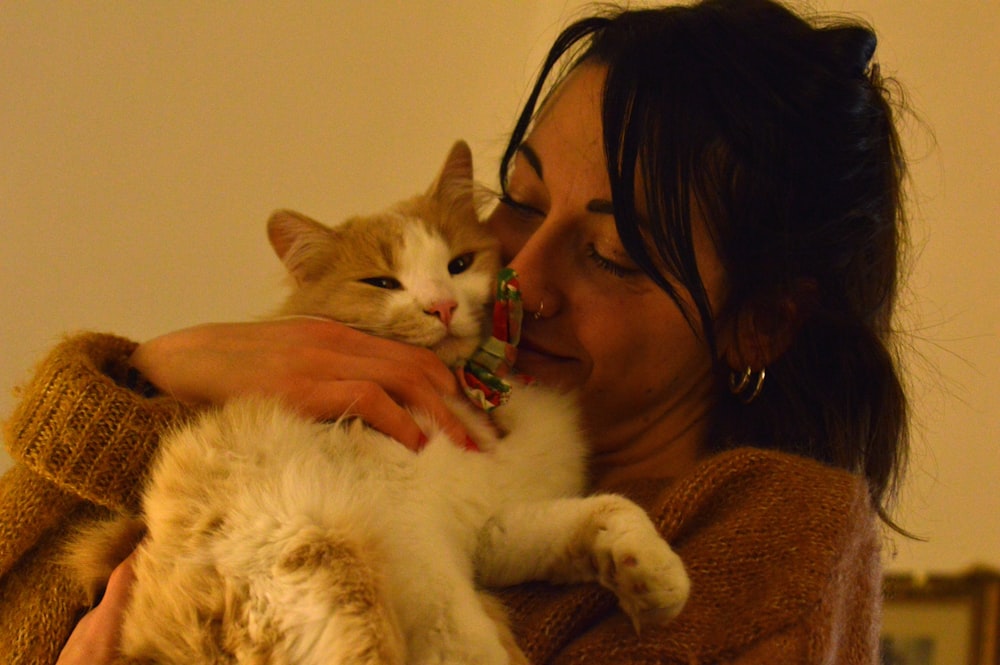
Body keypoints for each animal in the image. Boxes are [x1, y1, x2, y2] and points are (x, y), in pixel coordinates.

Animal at [62, 141, 688, 664]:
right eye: (382, 283)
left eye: (459, 264)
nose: (441, 306)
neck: (471, 392)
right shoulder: (411, 534)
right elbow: (459, 632)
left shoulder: (489, 527)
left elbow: (609, 510)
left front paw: (651, 575)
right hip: (328, 558)